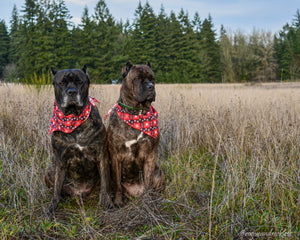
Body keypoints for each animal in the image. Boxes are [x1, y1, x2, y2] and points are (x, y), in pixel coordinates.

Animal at [45, 64, 113, 215]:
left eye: (80, 82)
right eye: (62, 83)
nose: (71, 92)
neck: (73, 119)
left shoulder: (102, 155)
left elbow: (106, 183)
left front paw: (107, 202)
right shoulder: (60, 159)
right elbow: (56, 188)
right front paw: (52, 206)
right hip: (49, 170)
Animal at [106, 61, 165, 205]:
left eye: (152, 79)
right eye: (137, 78)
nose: (150, 87)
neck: (137, 115)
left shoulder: (150, 155)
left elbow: (148, 181)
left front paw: (148, 202)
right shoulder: (115, 156)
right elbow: (117, 183)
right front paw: (118, 202)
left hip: (159, 171)